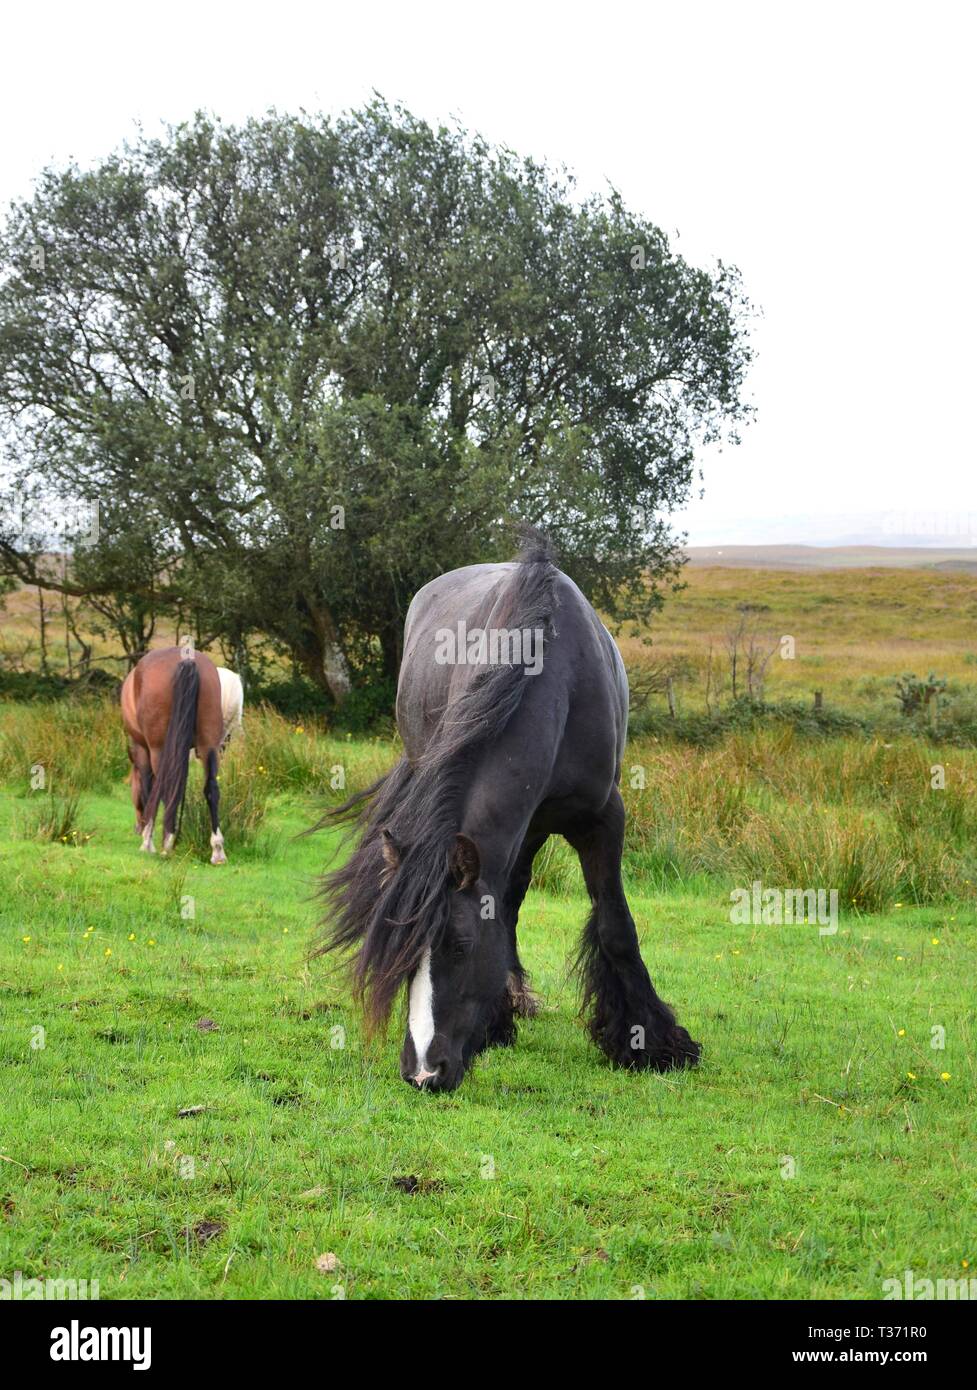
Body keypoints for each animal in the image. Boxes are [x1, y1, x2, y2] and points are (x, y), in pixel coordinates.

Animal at [120, 644, 227, 861]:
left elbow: (149, 788)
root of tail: (186, 660)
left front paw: (148, 839)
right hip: (209, 746)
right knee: (211, 788)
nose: (137, 826)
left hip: (158, 749)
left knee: (165, 787)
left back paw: (165, 841)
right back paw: (217, 849)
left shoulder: (142, 750)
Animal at [321, 528, 703, 1084]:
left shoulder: (602, 818)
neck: (558, 678)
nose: (423, 1071)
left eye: (460, 946)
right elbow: (505, 912)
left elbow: (615, 925)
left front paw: (649, 1042)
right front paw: (497, 1022)